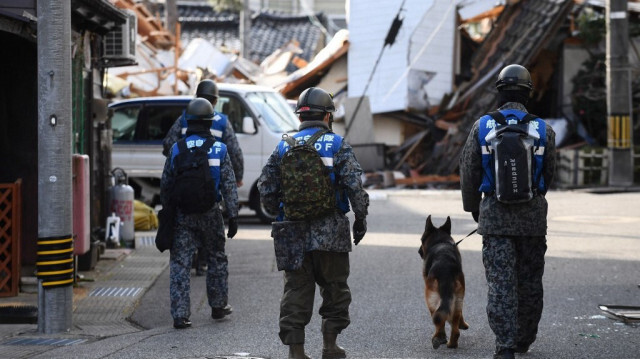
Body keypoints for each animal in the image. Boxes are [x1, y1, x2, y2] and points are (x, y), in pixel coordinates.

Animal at [418, 217, 468, 348]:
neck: (441, 241)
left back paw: (438, 338)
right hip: (458, 298)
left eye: (421, 240)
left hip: (430, 299)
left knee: (438, 319)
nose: (419, 251)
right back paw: (452, 342)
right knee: (455, 326)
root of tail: (446, 270)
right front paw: (462, 324)